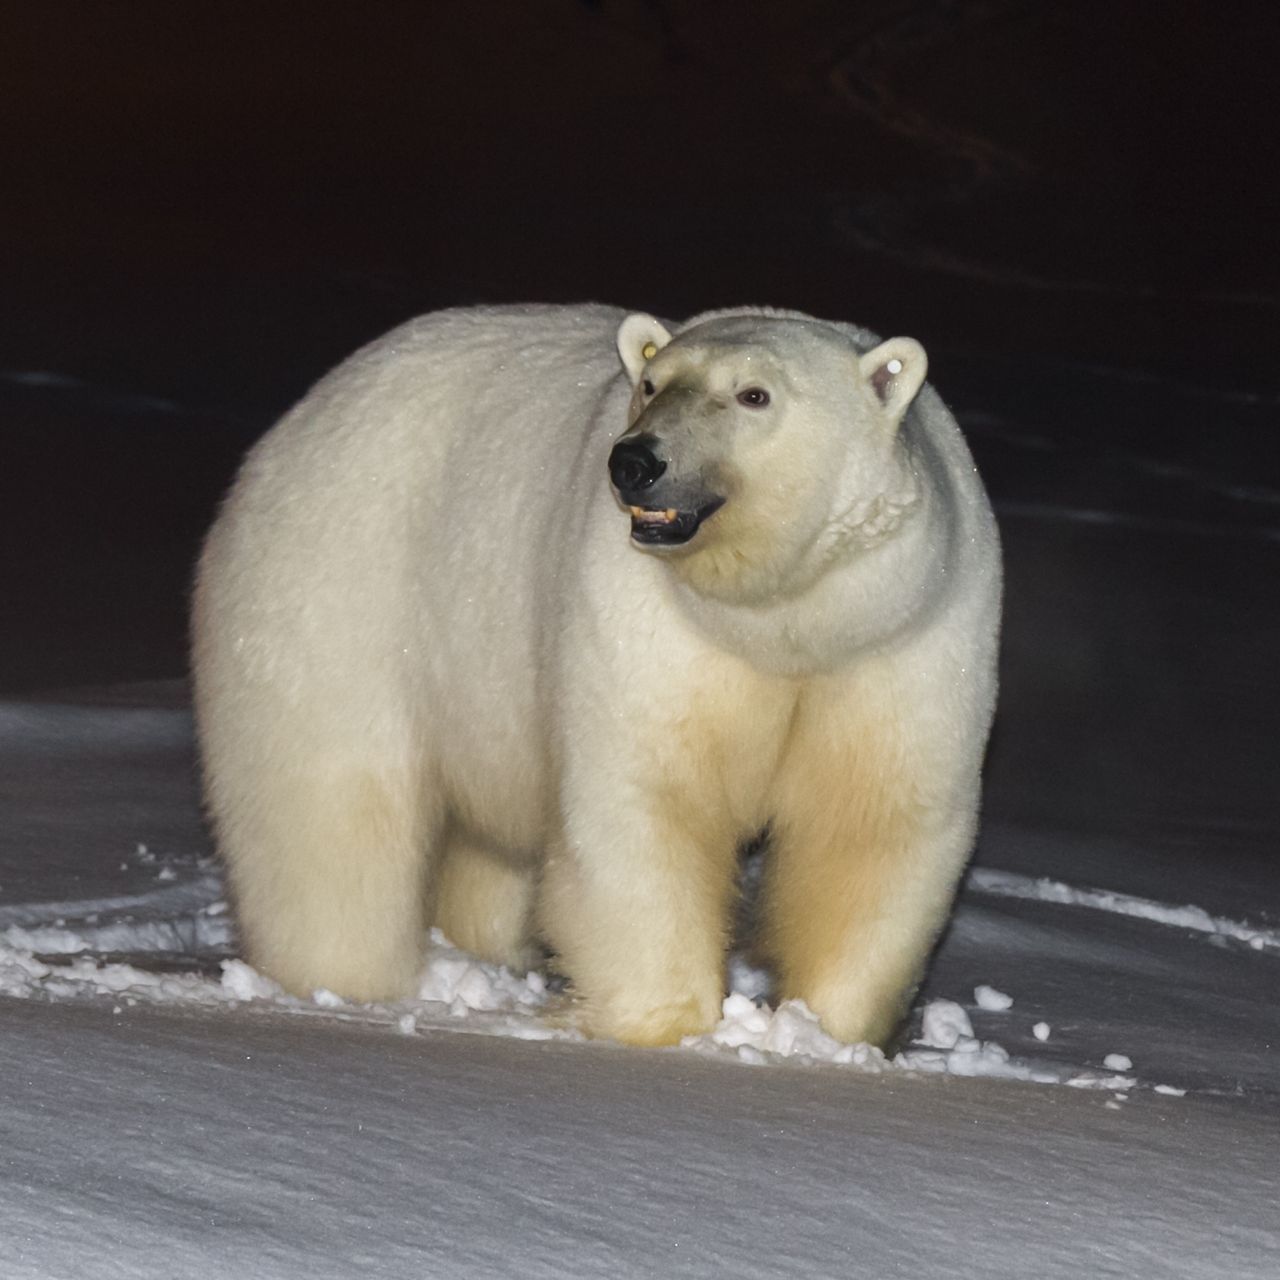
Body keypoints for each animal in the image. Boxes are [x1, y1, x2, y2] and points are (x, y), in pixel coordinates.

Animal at [192, 303, 1001, 1049]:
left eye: (754, 394)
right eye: (650, 383)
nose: (636, 461)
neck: (779, 623)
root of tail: (303, 413)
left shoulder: (900, 638)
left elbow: (874, 825)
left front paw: (826, 1030)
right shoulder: (642, 621)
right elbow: (644, 802)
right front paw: (661, 1024)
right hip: (339, 589)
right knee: (328, 814)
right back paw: (342, 981)